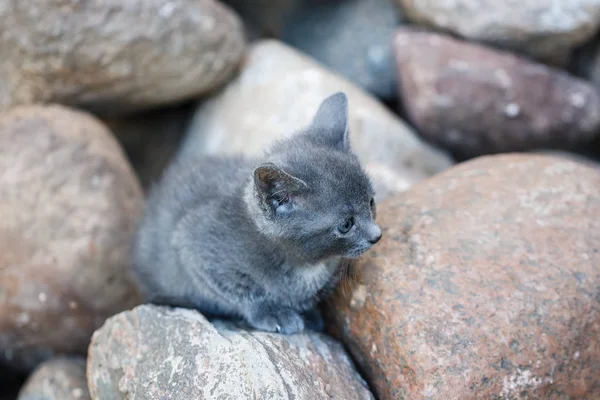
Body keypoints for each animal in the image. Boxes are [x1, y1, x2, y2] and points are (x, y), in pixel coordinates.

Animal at [134, 92, 382, 332]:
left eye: (371, 202)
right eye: (346, 224)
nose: (377, 235)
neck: (305, 266)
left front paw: (307, 312)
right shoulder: (193, 242)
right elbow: (240, 289)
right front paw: (272, 312)